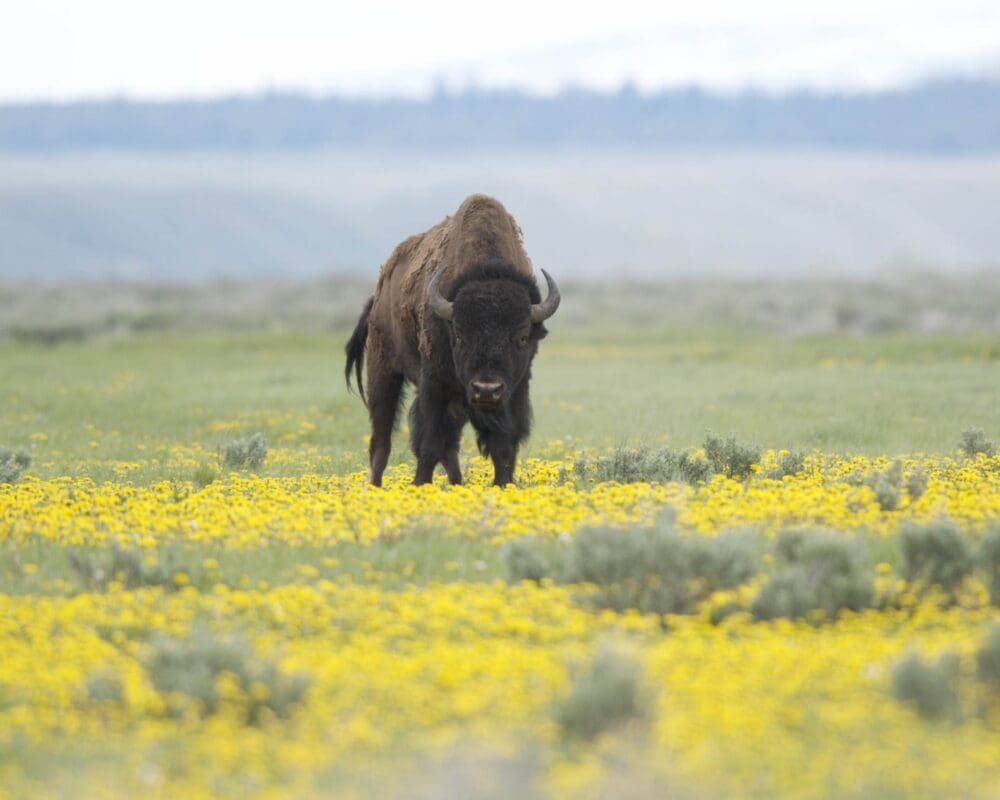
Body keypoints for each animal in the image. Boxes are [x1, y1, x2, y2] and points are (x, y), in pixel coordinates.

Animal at [345, 194, 560, 487]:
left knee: (450, 448)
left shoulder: (515, 389)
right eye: (458, 335)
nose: (486, 389)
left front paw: (502, 485)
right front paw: (420, 485)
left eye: (523, 336)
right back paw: (375, 488)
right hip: (383, 371)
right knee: (382, 440)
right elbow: (429, 445)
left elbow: (503, 447)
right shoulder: (435, 385)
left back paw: (458, 484)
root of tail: (377, 295)